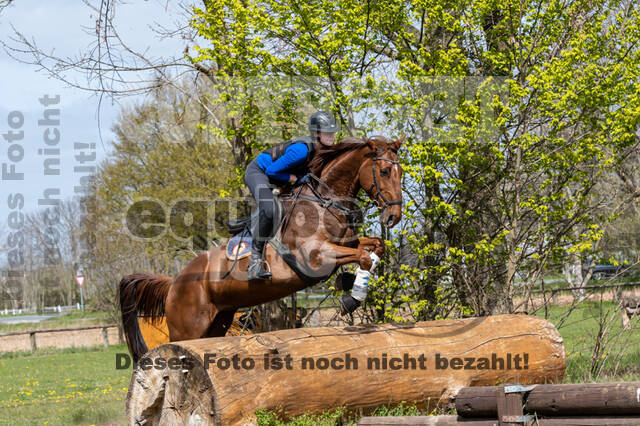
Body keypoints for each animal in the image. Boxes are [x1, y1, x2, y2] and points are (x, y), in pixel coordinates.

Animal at [119, 135, 404, 362]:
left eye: (401, 172)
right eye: (385, 171)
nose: (394, 216)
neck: (324, 201)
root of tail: (174, 282)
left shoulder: (344, 243)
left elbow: (375, 247)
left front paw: (347, 283)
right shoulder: (315, 256)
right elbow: (363, 257)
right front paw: (350, 298)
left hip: (219, 321)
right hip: (186, 328)